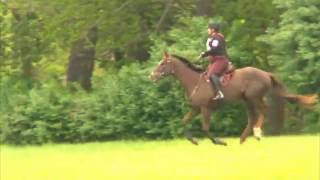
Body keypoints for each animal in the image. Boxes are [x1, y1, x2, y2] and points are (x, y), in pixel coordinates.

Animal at [148, 51, 318, 145]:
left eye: (163, 64)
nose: (152, 76)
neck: (194, 80)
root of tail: (265, 73)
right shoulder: (196, 108)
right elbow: (183, 122)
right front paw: (193, 140)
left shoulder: (205, 109)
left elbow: (205, 128)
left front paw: (219, 142)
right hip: (247, 100)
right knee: (252, 117)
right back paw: (242, 139)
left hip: (254, 97)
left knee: (263, 111)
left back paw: (257, 133)